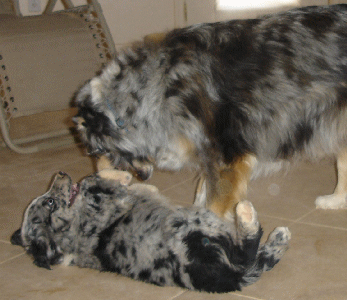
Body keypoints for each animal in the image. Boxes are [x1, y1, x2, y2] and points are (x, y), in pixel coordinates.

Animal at [10, 171, 290, 292]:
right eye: (49, 202)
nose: (60, 173)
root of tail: (228, 278)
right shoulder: (102, 203)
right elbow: (93, 182)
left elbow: (101, 178)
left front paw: (122, 174)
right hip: (197, 233)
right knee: (246, 253)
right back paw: (246, 214)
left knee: (257, 259)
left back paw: (279, 236)